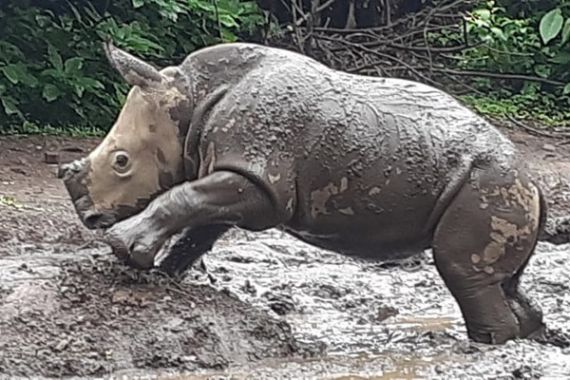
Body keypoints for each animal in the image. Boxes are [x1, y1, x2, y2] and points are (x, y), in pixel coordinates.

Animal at [60, 40, 544, 344]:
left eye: (121, 162)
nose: (87, 215)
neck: (190, 98)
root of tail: (535, 182)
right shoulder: (240, 172)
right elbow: (199, 223)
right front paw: (162, 274)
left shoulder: (258, 179)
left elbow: (182, 199)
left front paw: (124, 249)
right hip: (500, 186)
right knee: (497, 281)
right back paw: (527, 335)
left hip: (490, 183)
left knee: (461, 271)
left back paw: (484, 346)